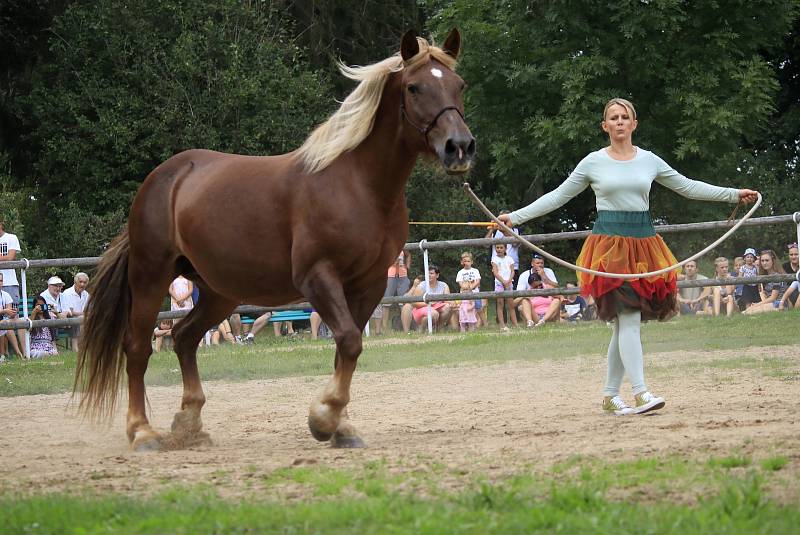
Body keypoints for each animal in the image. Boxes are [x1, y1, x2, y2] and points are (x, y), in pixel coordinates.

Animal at [73, 30, 476, 452]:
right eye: (414, 87)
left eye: (459, 85)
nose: (460, 147)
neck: (358, 185)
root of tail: (163, 177)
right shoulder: (317, 277)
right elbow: (350, 341)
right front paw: (324, 418)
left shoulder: (369, 284)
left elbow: (345, 348)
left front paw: (340, 425)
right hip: (151, 277)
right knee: (137, 348)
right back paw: (142, 432)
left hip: (221, 292)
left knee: (183, 338)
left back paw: (189, 423)